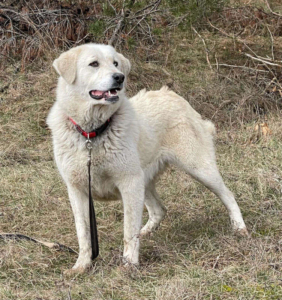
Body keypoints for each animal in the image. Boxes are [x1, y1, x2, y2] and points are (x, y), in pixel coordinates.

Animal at [46, 42, 247, 274]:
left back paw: (239, 228)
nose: (119, 77)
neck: (92, 134)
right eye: (93, 64)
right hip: (145, 181)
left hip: (199, 169)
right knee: (159, 211)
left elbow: (127, 231)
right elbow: (84, 235)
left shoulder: (129, 184)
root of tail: (173, 95)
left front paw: (129, 265)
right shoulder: (78, 191)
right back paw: (145, 232)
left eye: (115, 63)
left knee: (228, 195)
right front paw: (82, 266)